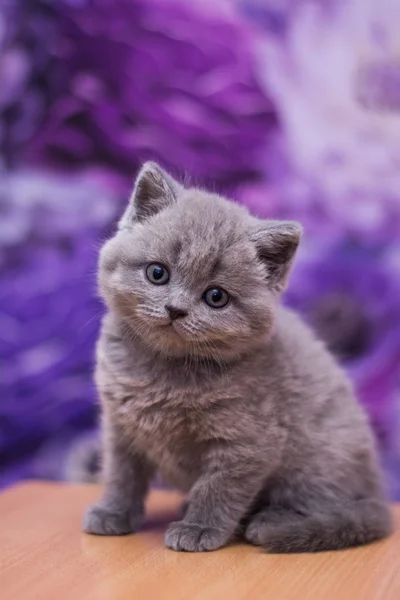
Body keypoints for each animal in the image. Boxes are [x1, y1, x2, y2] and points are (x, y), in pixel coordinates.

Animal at [83, 161, 392, 552]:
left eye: (216, 297)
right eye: (157, 273)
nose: (175, 309)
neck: (163, 371)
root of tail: (377, 494)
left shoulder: (246, 441)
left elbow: (219, 488)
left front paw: (198, 528)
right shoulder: (120, 427)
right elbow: (121, 474)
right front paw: (113, 512)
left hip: (321, 455)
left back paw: (273, 521)